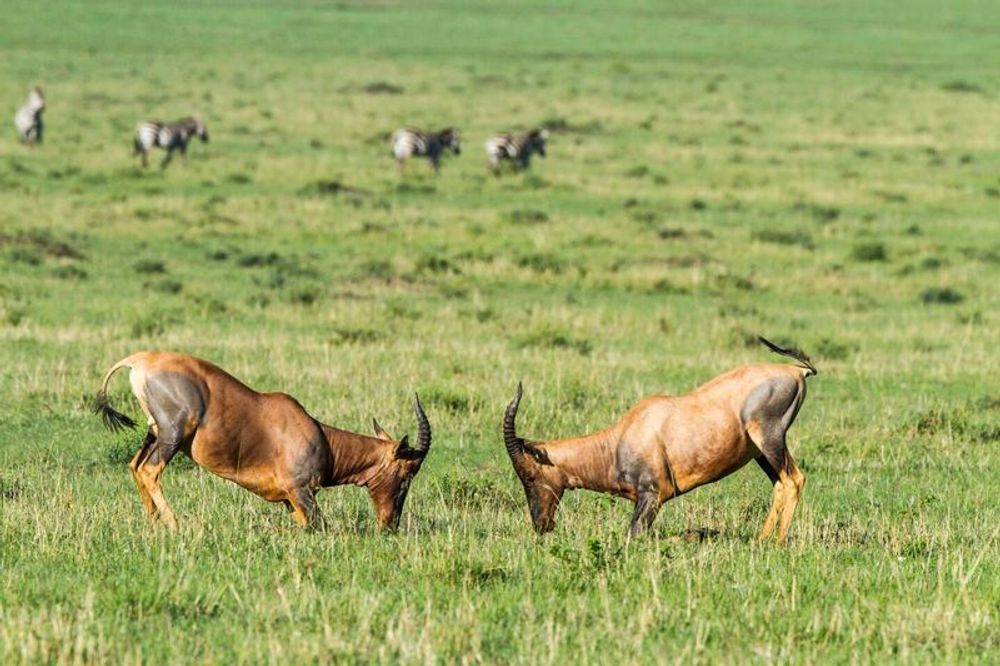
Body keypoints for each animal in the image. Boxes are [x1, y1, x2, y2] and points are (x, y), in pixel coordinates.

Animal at [94, 352, 434, 528]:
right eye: (407, 473)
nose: (390, 525)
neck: (318, 434)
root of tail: (139, 359)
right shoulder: (301, 491)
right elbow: (320, 526)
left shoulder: (288, 500)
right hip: (172, 434)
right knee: (149, 470)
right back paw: (175, 526)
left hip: (154, 433)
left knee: (135, 466)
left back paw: (152, 525)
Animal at [504, 334, 816, 544]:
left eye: (529, 475)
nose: (541, 525)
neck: (622, 438)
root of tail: (796, 371)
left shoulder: (653, 496)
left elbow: (636, 536)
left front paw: (700, 534)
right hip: (759, 451)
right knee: (780, 484)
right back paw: (760, 540)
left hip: (770, 439)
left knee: (793, 480)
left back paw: (775, 544)